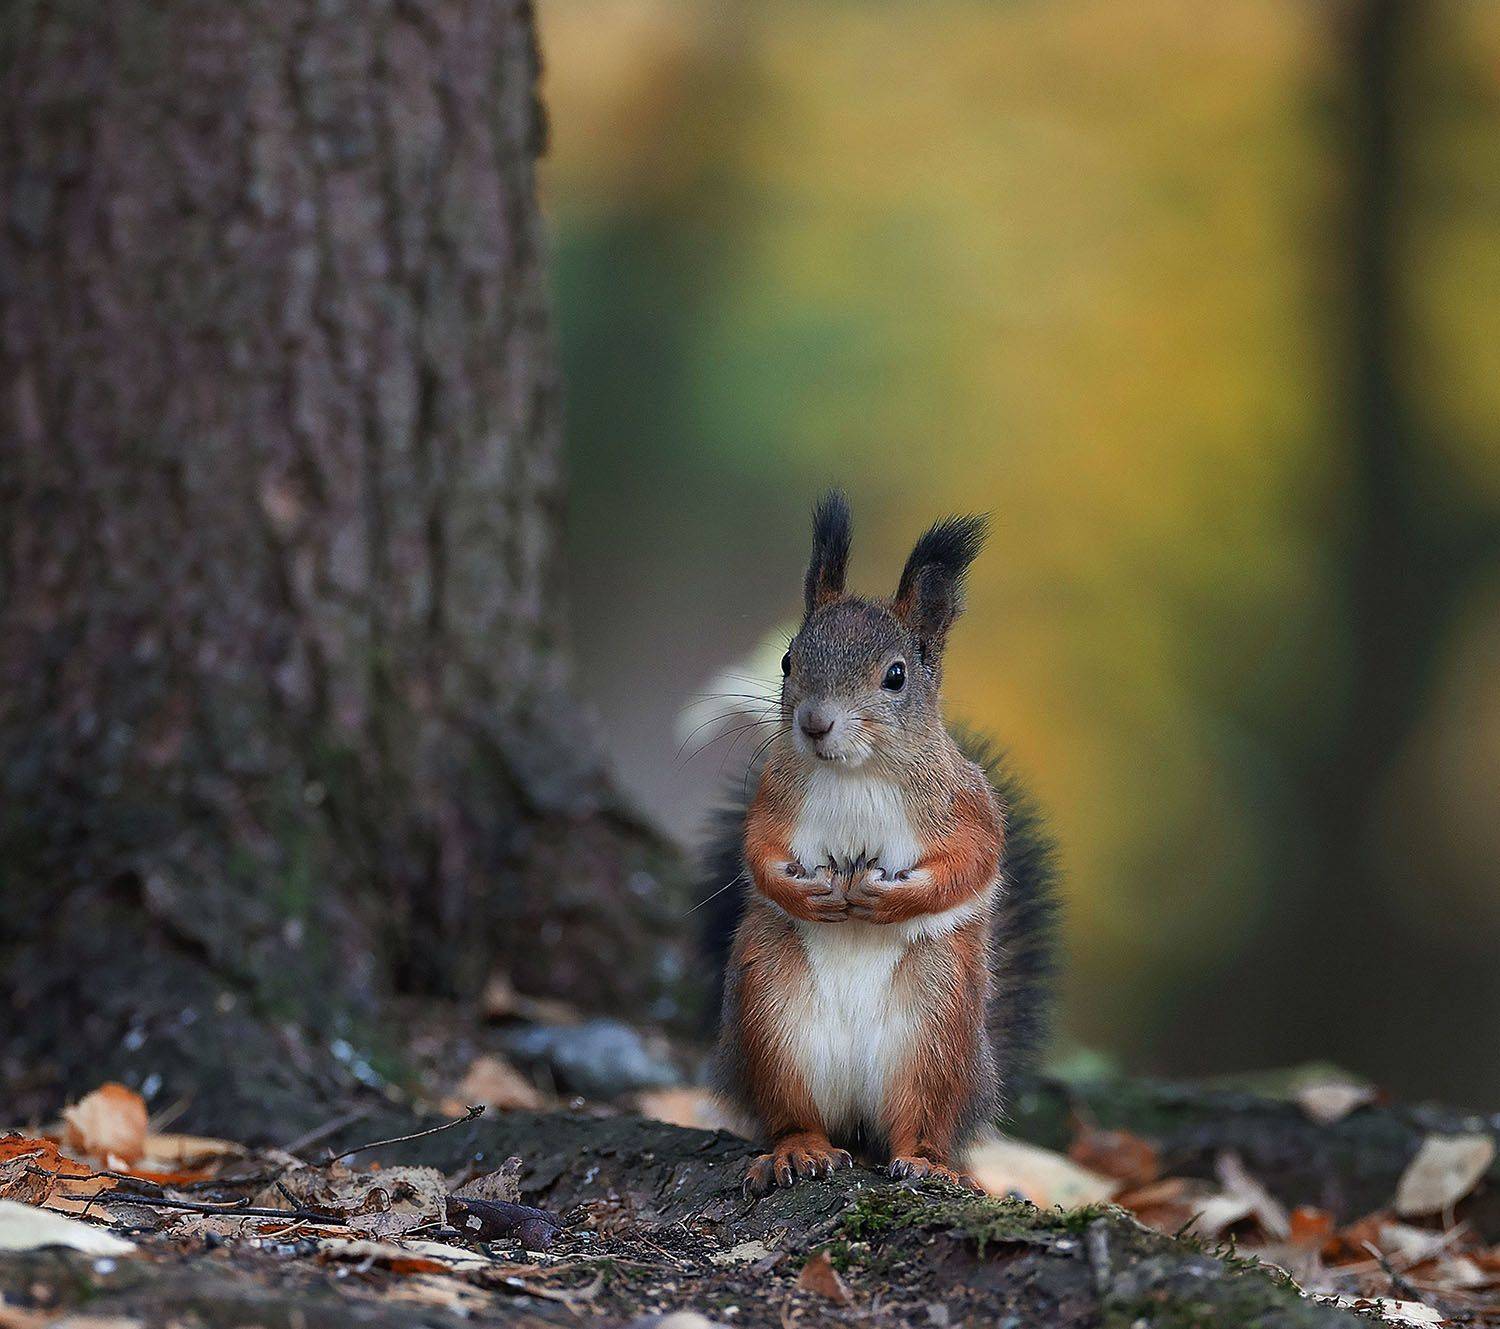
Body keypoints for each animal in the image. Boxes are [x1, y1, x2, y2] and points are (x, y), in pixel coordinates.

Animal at [704, 491, 1059, 1196]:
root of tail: (857, 1123)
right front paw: (804, 894)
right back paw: (800, 1151)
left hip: (935, 1027)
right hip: (771, 1015)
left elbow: (976, 860)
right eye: (788, 660)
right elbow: (757, 853)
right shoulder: (773, 797)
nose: (815, 723)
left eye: (895, 676)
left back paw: (925, 1162)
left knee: (916, 1123)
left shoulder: (966, 804)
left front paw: (888, 901)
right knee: (793, 1114)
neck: (855, 770)